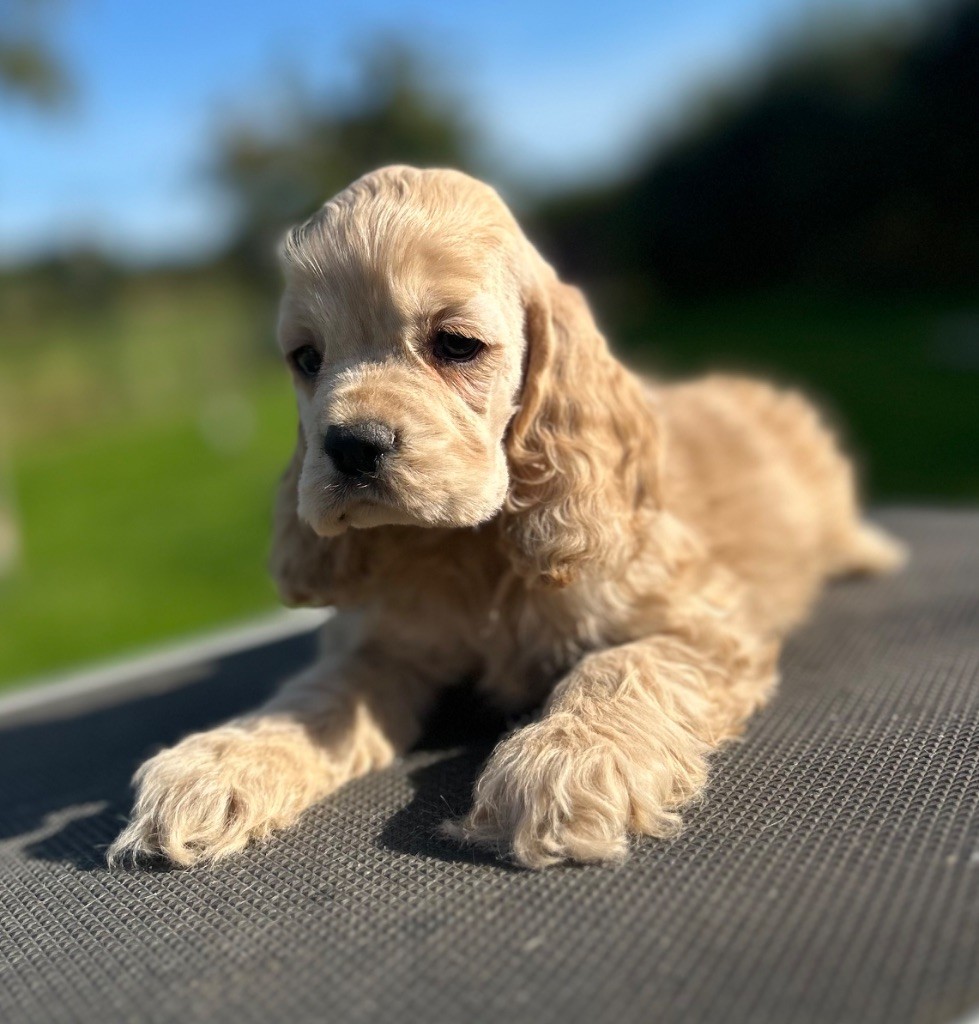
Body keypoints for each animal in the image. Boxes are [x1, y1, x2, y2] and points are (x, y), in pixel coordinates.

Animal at [109, 165, 904, 869]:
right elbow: (317, 693)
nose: (350, 445)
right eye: (307, 359)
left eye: (456, 344)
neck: (472, 545)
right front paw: (220, 762)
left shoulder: (703, 620)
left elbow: (622, 664)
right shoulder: (382, 644)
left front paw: (568, 763)